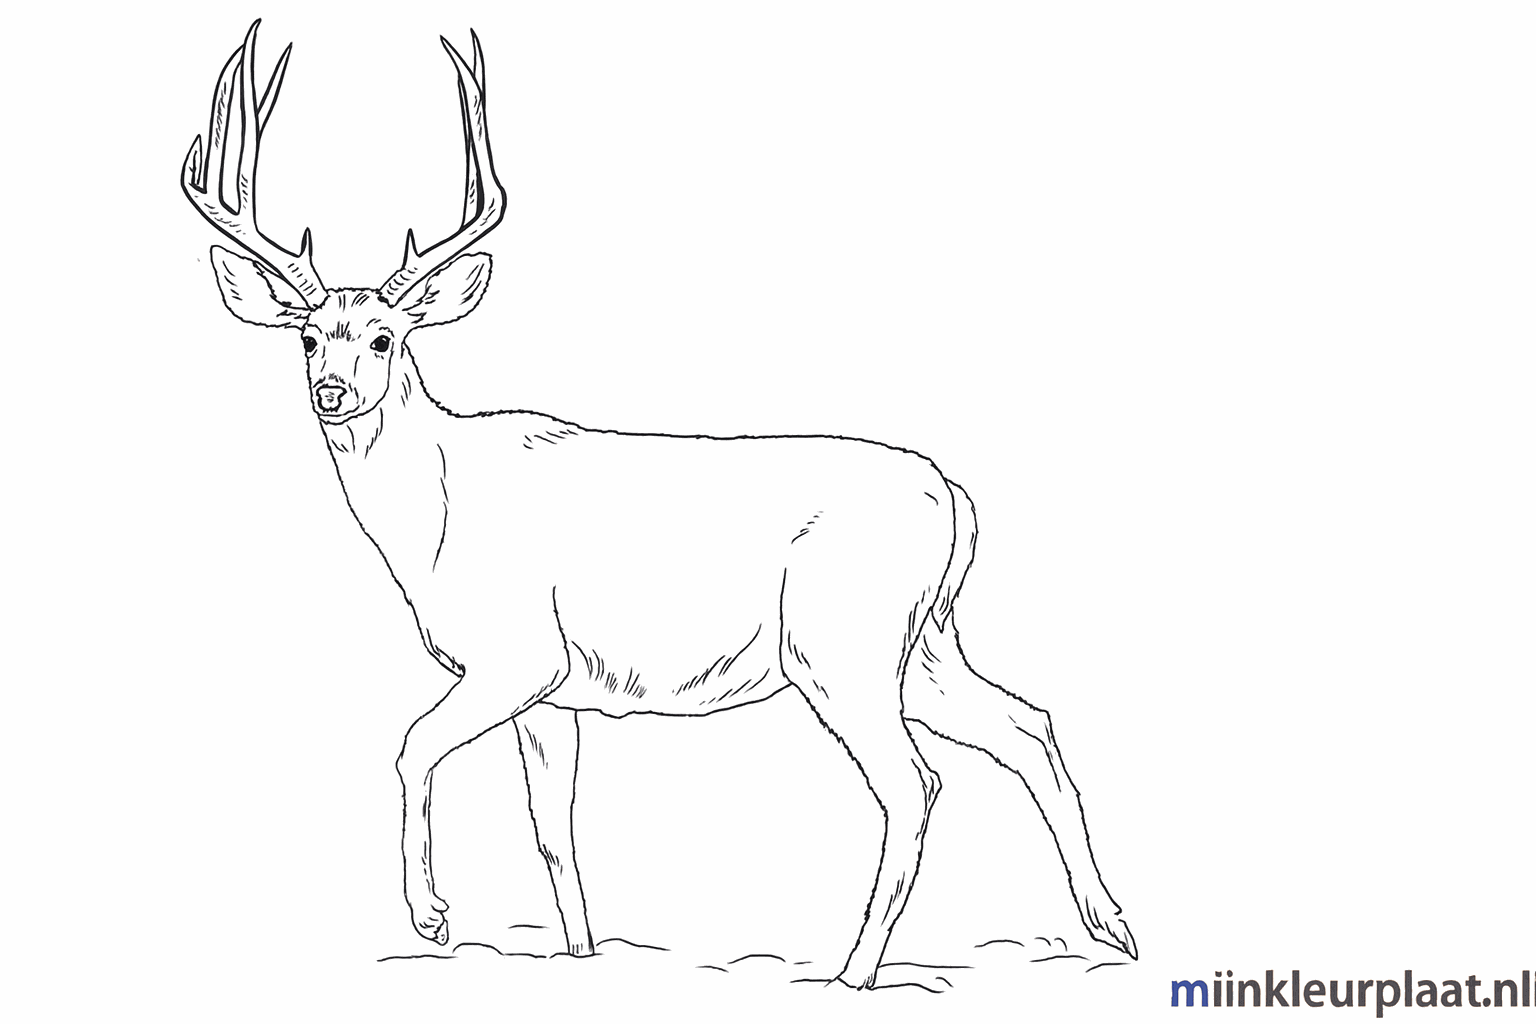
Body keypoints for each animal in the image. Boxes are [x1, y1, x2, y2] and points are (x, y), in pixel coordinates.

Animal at [182, 21, 1137, 988]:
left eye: (384, 337)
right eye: (308, 336)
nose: (333, 392)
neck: (438, 510)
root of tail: (955, 496)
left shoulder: (518, 654)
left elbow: (412, 744)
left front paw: (433, 917)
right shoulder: (554, 696)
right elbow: (555, 835)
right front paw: (578, 956)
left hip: (842, 644)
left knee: (917, 784)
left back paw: (853, 972)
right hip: (925, 644)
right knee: (1027, 724)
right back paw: (1111, 926)